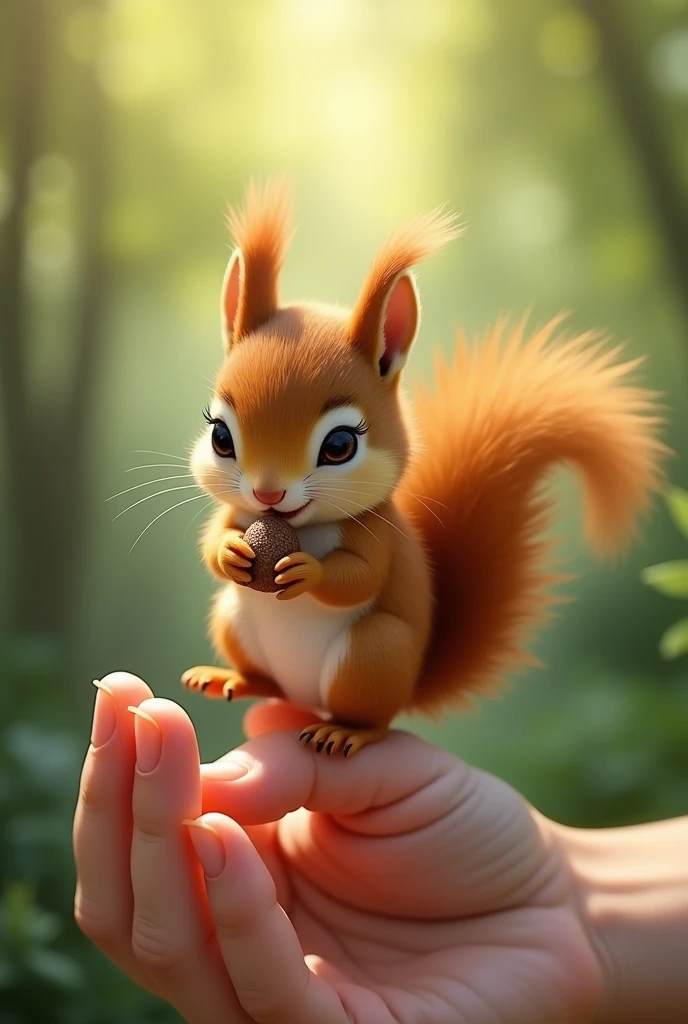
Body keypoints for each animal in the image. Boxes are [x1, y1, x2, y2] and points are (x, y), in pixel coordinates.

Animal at [180, 176, 663, 757]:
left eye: (339, 444)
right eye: (220, 435)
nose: (268, 495)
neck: (301, 526)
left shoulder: (378, 533)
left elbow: (360, 578)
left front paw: (308, 570)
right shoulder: (238, 515)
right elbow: (212, 539)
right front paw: (230, 551)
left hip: (375, 654)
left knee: (375, 716)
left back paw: (345, 731)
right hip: (233, 620)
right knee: (268, 680)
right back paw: (233, 677)